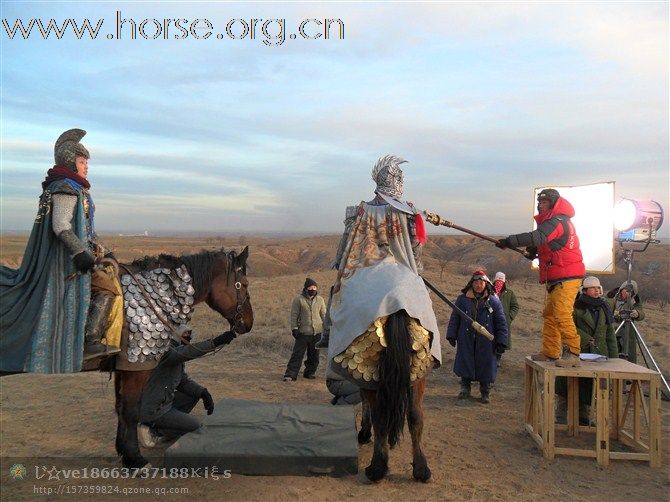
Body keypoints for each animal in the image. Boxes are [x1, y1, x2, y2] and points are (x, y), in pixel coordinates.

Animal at [109, 247, 253, 466]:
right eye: (244, 284)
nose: (249, 322)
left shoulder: (122, 367)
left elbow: (120, 407)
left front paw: (123, 451)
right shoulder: (135, 367)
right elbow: (130, 411)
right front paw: (135, 460)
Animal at [356, 310, 430, 482]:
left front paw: (364, 433)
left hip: (371, 368)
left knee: (380, 417)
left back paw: (376, 468)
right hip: (418, 372)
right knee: (415, 415)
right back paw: (421, 469)